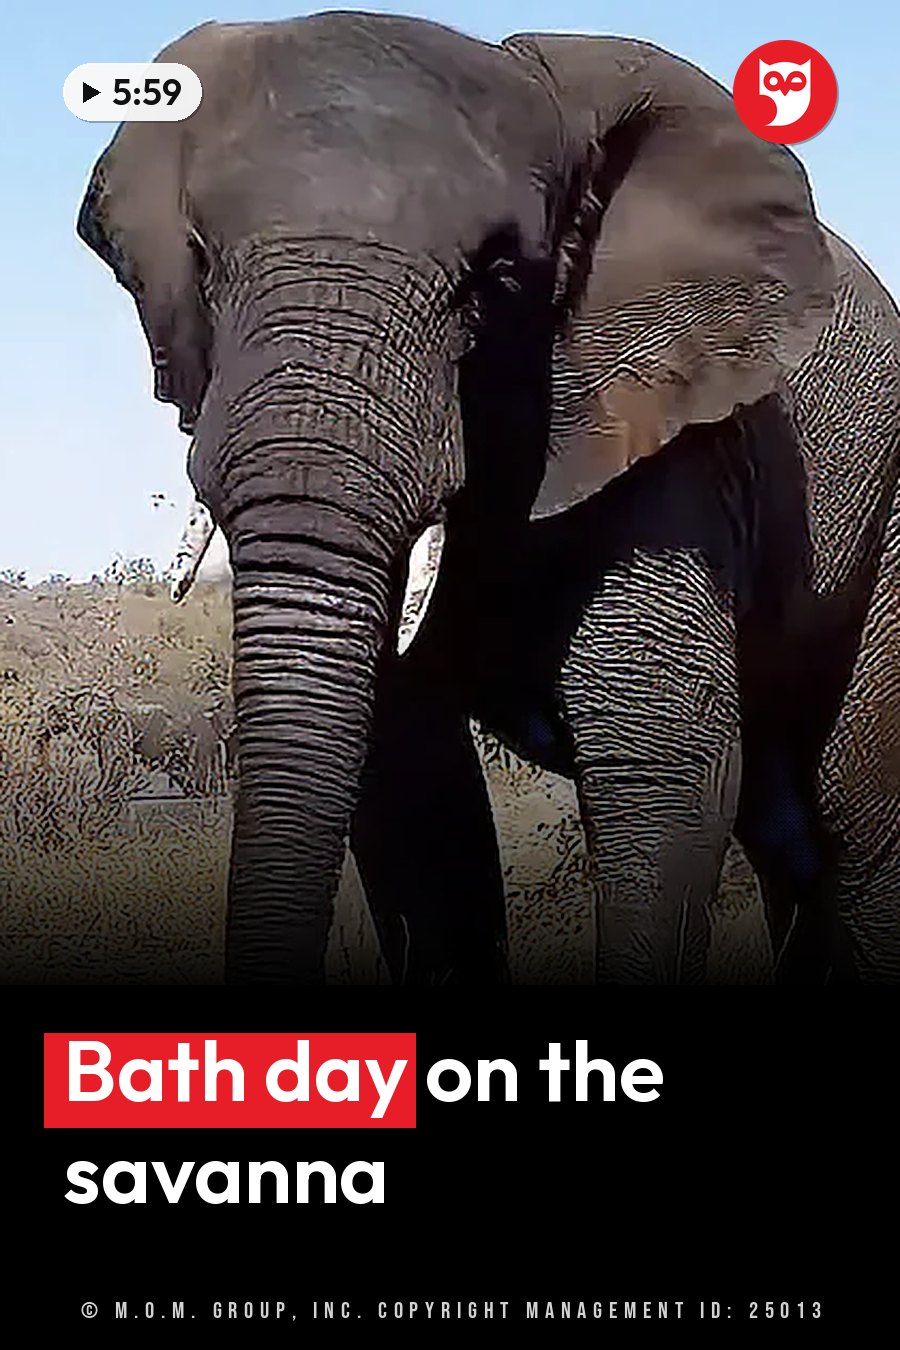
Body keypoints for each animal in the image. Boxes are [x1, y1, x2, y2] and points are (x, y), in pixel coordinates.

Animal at [76, 13, 899, 985]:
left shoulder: (674, 438)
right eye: (201, 262)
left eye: (497, 278)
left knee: (857, 826)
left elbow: (656, 755)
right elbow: (412, 788)